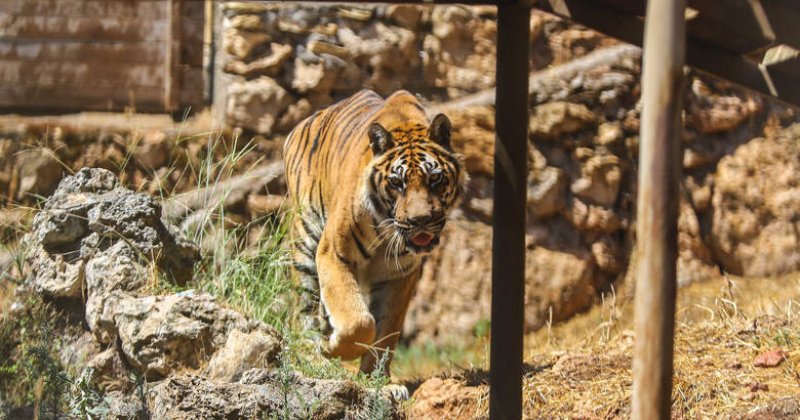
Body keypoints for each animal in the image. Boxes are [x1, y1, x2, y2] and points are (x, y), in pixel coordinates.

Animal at [282, 89, 466, 374]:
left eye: (435, 178)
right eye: (397, 182)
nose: (421, 220)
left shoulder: (400, 274)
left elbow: (385, 329)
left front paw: (375, 378)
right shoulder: (333, 254)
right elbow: (358, 322)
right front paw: (333, 349)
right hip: (304, 243)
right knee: (303, 309)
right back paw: (312, 354)